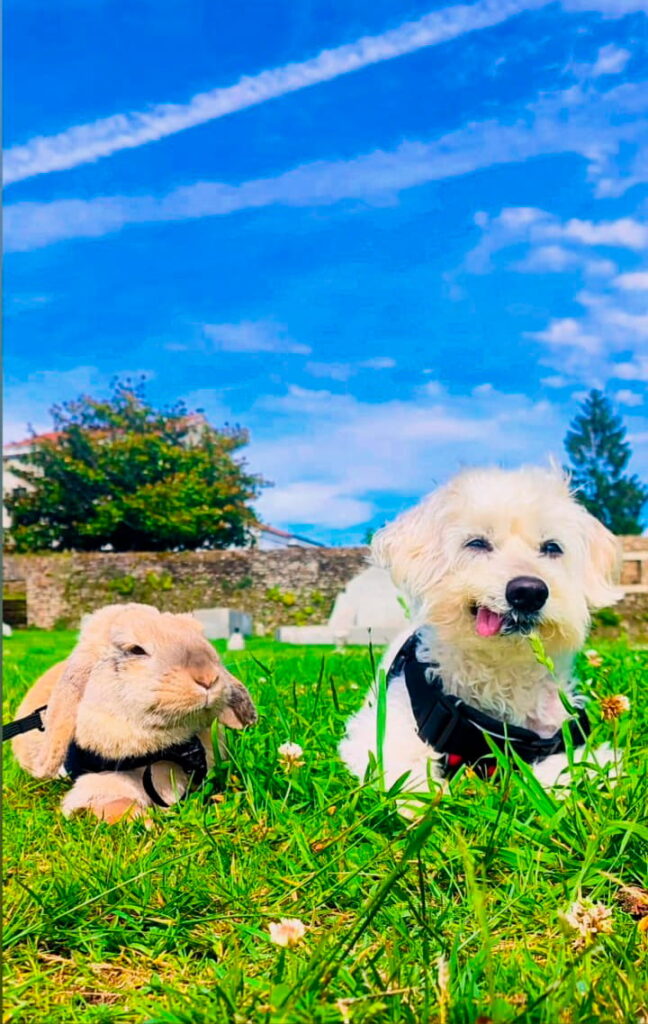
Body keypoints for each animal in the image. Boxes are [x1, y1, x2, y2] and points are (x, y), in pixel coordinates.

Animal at [12, 603, 257, 823]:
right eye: (136, 650)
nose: (208, 678)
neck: (169, 752)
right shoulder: (98, 785)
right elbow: (118, 805)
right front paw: (147, 823)